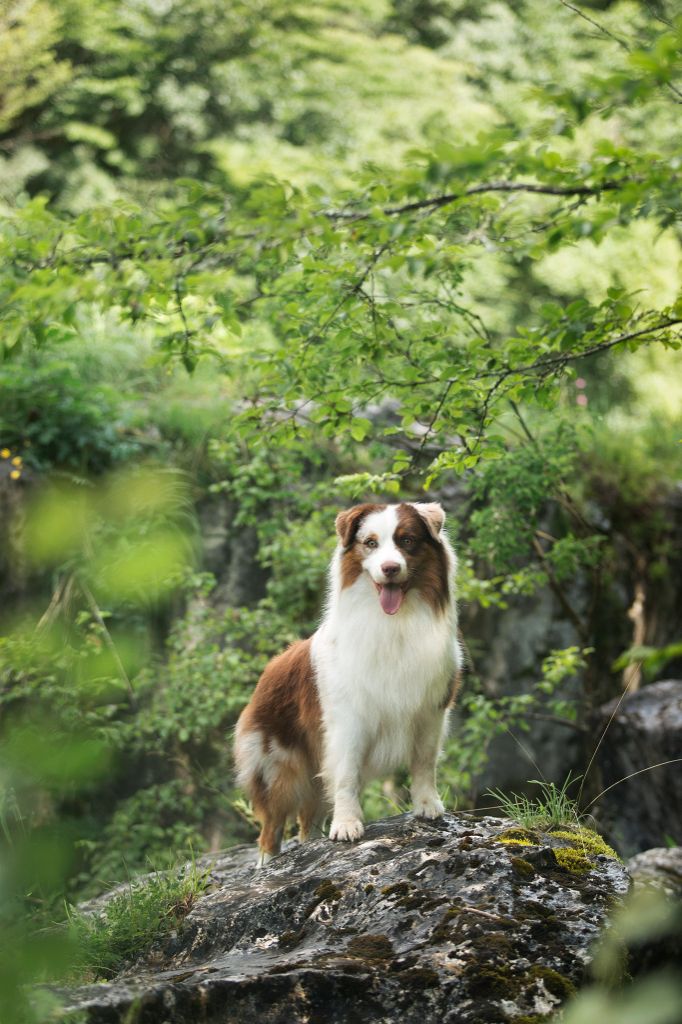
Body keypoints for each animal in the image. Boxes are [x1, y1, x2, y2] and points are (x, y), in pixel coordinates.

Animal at [233, 501, 462, 864]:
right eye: (370, 543)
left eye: (407, 541)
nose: (390, 568)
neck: (394, 623)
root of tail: (266, 673)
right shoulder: (348, 719)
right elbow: (347, 774)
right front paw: (346, 825)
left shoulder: (431, 710)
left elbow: (425, 762)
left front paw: (428, 805)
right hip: (278, 767)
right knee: (271, 825)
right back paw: (267, 864)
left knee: (307, 819)